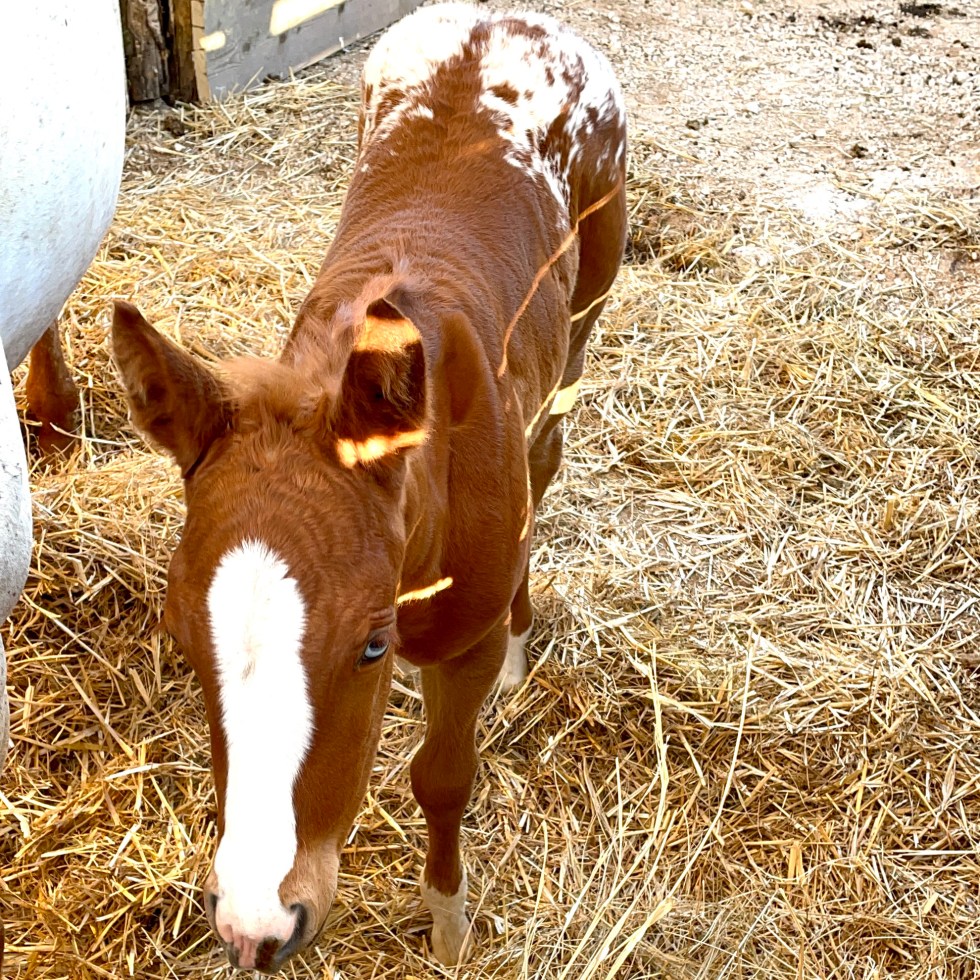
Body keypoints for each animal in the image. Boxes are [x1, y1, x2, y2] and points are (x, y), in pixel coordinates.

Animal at [112, 4, 626, 971]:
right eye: (185, 645)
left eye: (372, 647)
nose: (255, 928)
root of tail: (510, 19)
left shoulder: (458, 644)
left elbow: (445, 777)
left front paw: (450, 924)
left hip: (586, 313)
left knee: (550, 449)